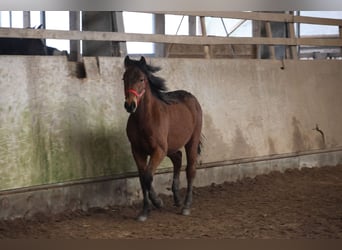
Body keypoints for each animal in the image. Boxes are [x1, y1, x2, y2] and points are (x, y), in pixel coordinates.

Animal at [123, 56, 203, 221]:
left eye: (141, 79)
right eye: (124, 78)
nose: (130, 105)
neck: (145, 119)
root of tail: (192, 98)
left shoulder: (158, 150)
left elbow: (148, 177)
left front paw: (157, 202)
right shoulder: (137, 151)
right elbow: (143, 178)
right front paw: (144, 211)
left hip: (191, 142)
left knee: (190, 170)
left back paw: (186, 206)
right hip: (171, 146)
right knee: (177, 158)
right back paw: (177, 199)